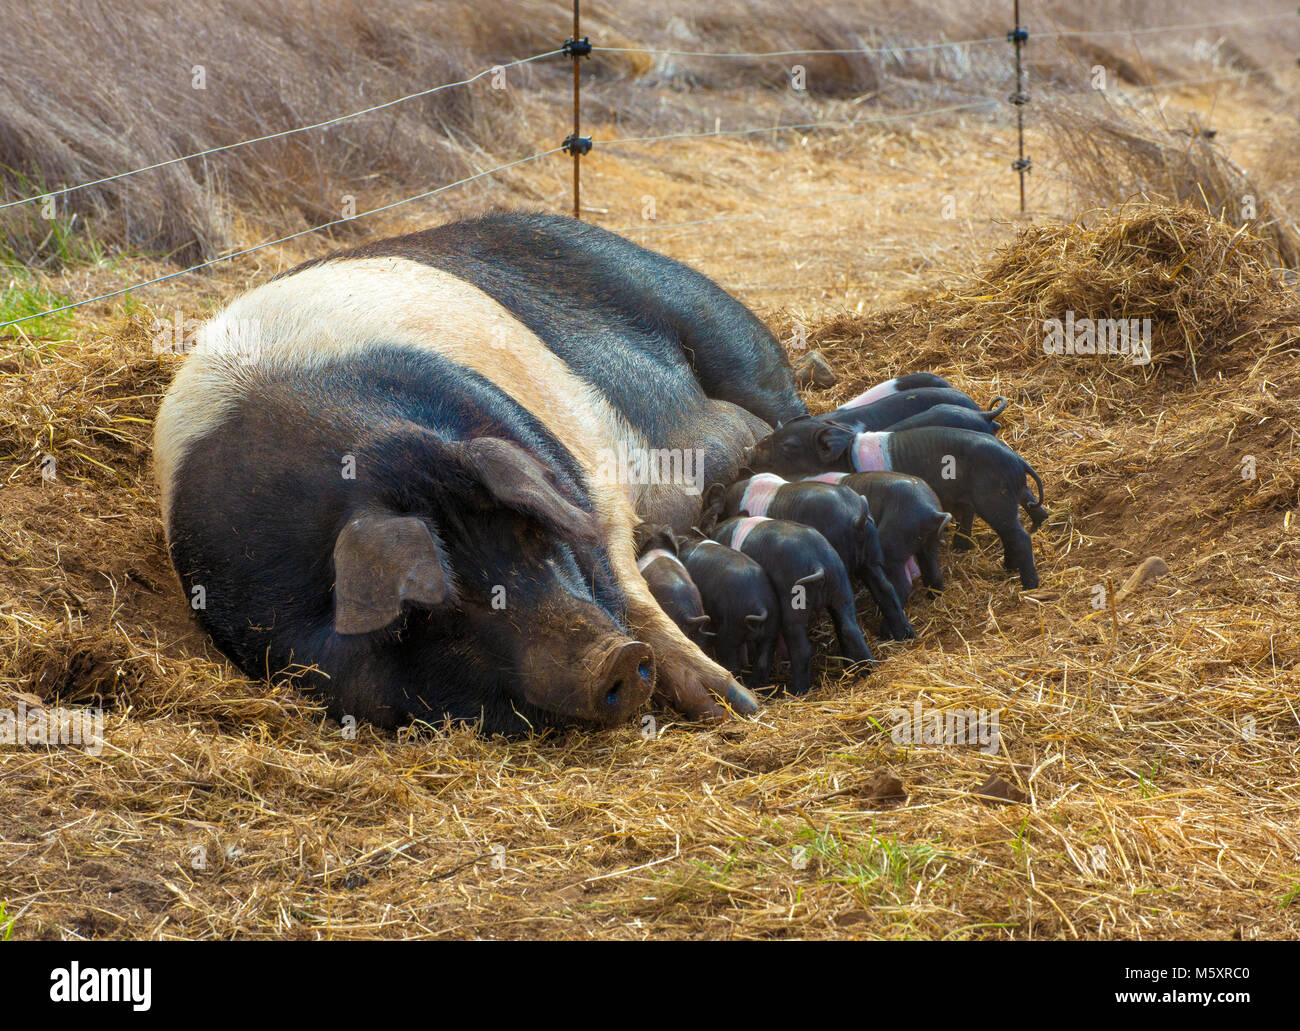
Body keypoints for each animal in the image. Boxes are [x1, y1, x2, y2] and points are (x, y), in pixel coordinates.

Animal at [149, 213, 800, 738]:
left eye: (533, 536)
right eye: (434, 613)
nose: (610, 659)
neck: (370, 454)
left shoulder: (589, 501)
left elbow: (630, 587)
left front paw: (738, 706)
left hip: (717, 326)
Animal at [712, 512, 873, 691]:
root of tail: (817, 562)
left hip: (793, 599)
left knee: (800, 646)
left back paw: (797, 690)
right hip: (840, 584)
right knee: (850, 628)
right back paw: (868, 670)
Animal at [748, 418, 1050, 587]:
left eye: (788, 446)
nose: (751, 450)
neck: (847, 458)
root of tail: (1017, 460)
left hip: (994, 497)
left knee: (1018, 535)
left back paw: (1029, 585)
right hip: (1015, 493)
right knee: (1032, 515)